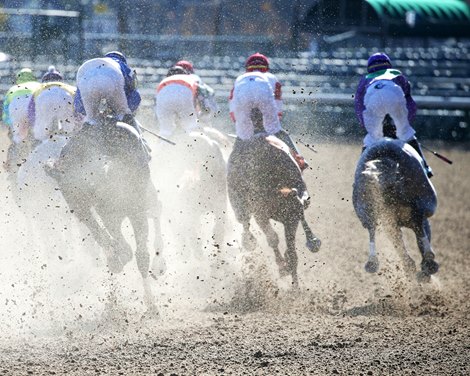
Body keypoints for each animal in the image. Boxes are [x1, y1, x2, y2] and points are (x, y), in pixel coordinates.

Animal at [352, 137, 440, 278]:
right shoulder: (426, 207)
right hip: (423, 202)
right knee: (417, 224)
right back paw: (428, 261)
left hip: (365, 209)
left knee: (372, 228)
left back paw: (374, 262)